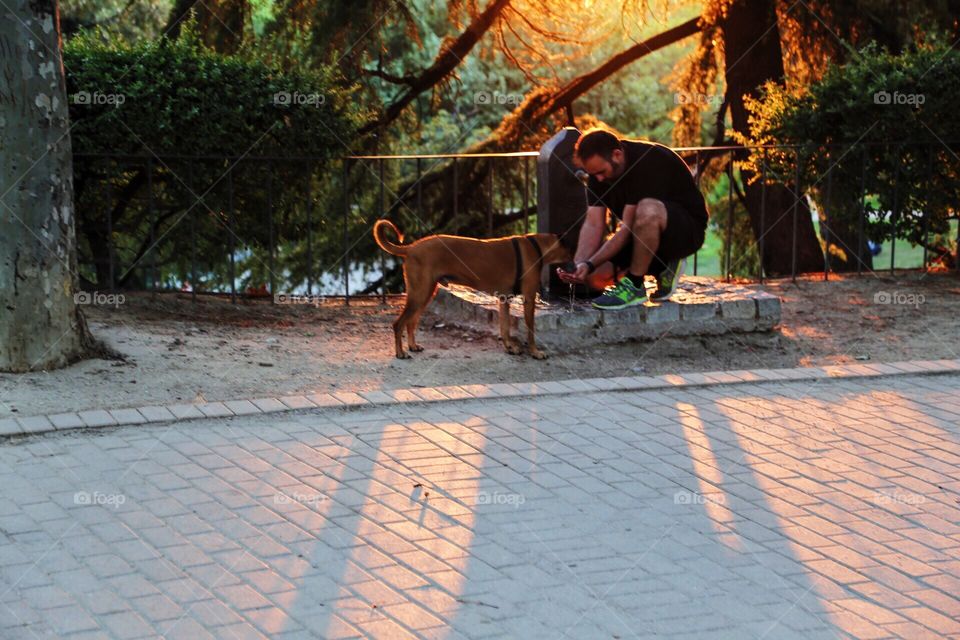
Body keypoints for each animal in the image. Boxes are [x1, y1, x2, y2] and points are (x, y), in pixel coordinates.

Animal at [374, 220, 568, 360]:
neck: (537, 246)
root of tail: (411, 247)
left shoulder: (504, 299)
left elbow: (504, 328)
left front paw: (509, 347)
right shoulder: (529, 298)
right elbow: (530, 331)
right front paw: (535, 352)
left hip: (425, 293)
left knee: (411, 322)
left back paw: (413, 346)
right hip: (420, 294)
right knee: (398, 324)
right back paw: (400, 353)